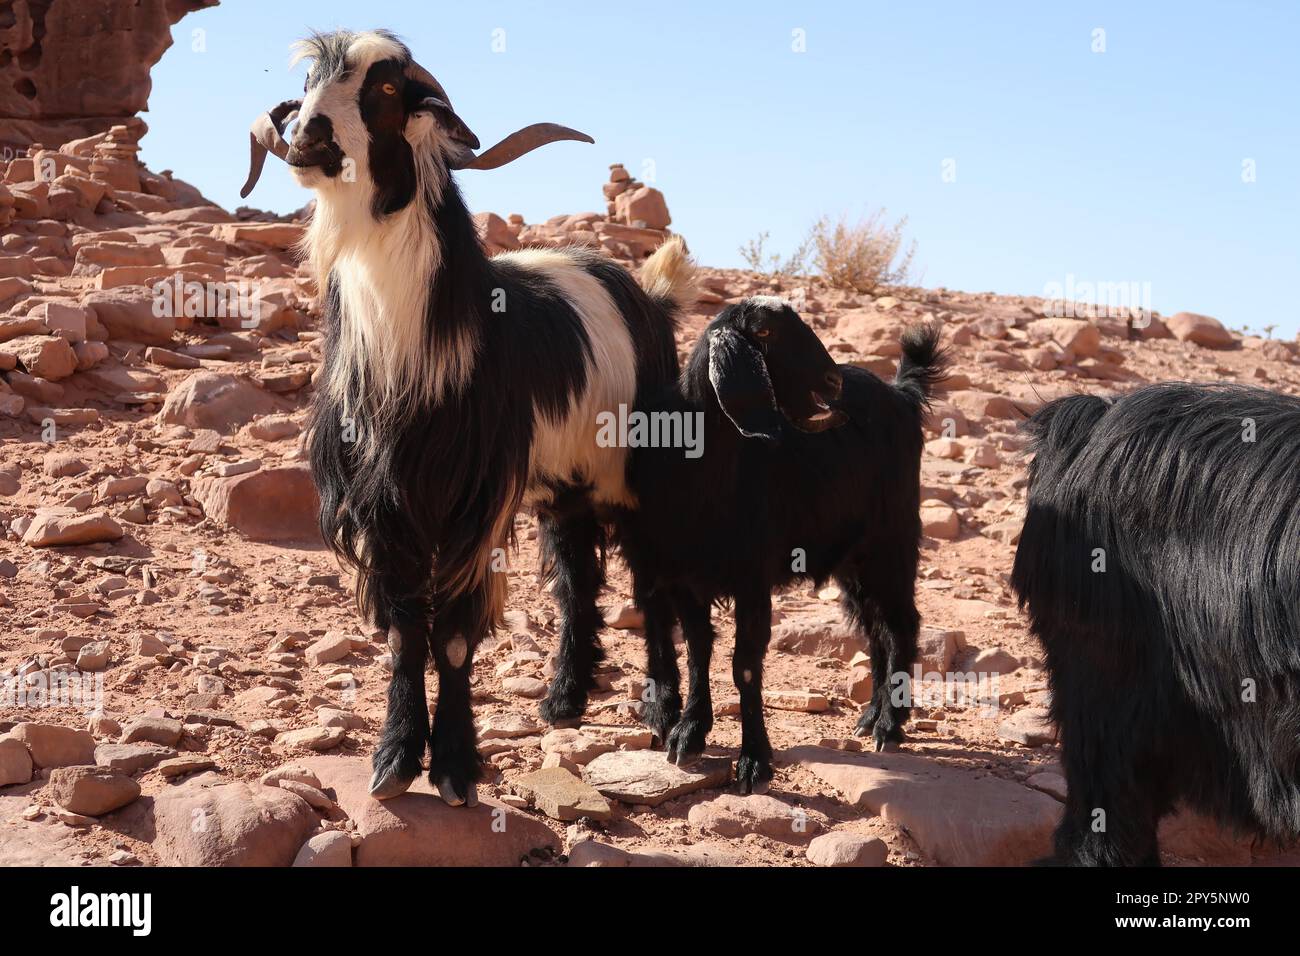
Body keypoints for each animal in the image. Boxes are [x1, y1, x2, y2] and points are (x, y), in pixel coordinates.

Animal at [240, 29, 693, 804]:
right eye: (307, 82)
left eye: (389, 89)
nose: (307, 136)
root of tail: (649, 296)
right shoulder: (382, 502)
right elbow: (403, 634)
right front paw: (395, 759)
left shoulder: (469, 504)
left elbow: (450, 635)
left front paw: (452, 766)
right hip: (561, 487)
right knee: (577, 582)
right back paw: (563, 700)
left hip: (633, 476)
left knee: (651, 586)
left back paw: (663, 716)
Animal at [614, 298, 946, 792]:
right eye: (765, 332)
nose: (833, 382)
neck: (707, 478)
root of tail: (901, 395)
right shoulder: (685, 580)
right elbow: (698, 650)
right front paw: (689, 733)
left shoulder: (753, 580)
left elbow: (745, 665)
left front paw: (754, 761)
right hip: (852, 559)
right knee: (876, 629)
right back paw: (870, 716)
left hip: (891, 541)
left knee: (902, 623)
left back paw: (890, 725)